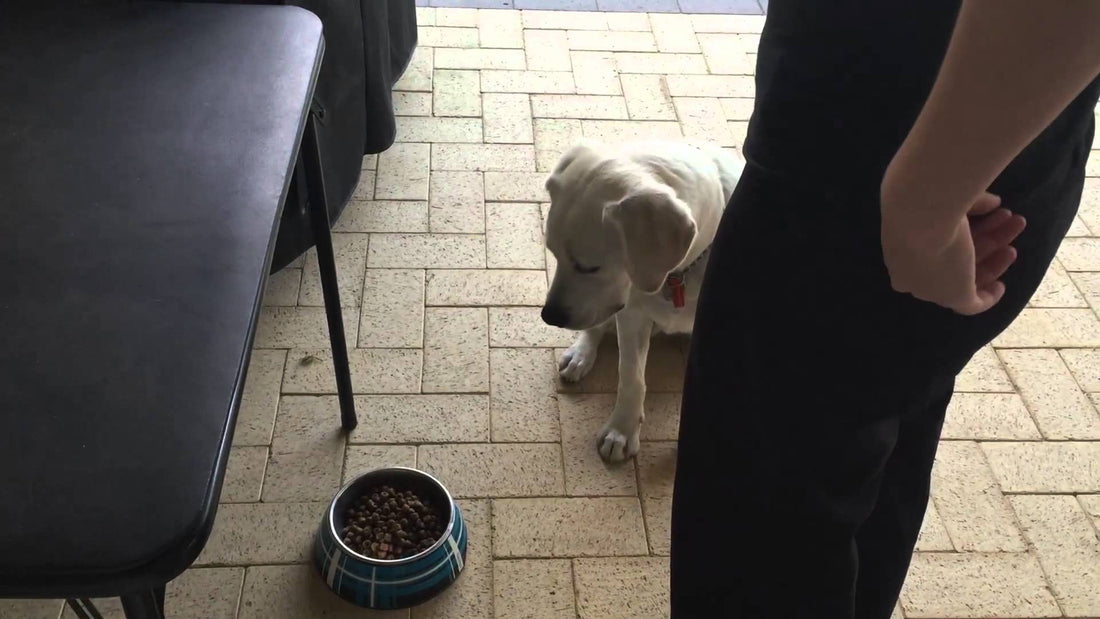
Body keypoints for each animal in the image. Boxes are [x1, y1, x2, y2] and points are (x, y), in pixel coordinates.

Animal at [543, 139, 748, 459]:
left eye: (590, 267)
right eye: (552, 253)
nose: (549, 316)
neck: (678, 276)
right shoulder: (632, 316)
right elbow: (631, 378)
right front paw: (622, 430)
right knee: (596, 328)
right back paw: (580, 355)